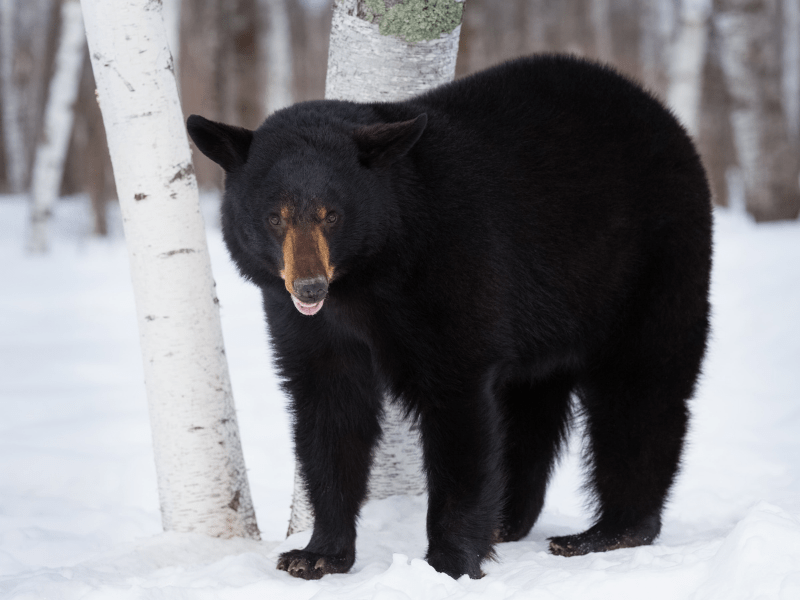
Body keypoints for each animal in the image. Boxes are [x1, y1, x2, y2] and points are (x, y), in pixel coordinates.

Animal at [188, 54, 712, 580]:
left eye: (331, 214)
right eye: (274, 216)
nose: (309, 286)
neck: (367, 280)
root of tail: (665, 117)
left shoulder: (454, 270)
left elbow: (460, 411)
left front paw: (449, 562)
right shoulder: (309, 324)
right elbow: (330, 410)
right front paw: (317, 552)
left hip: (648, 265)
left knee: (641, 388)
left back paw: (606, 532)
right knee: (529, 409)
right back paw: (508, 520)